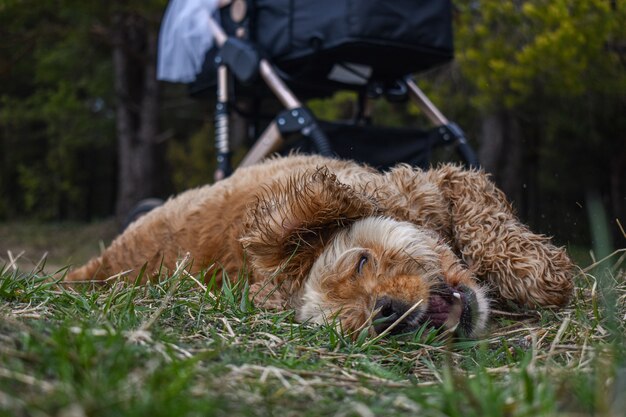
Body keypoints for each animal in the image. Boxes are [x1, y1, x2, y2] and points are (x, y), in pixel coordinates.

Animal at [66, 154, 572, 336]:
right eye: (347, 323)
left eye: (362, 262)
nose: (385, 312)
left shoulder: (433, 186)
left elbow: (485, 223)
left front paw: (538, 275)